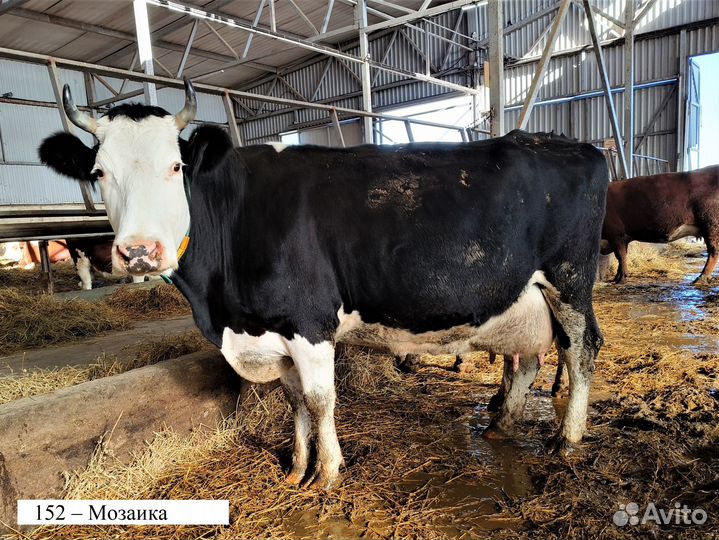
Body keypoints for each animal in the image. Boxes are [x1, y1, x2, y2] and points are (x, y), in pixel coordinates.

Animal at [39, 80, 608, 489]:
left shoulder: (308, 321)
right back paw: (500, 423)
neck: (224, 313)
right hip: (525, 298)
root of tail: (577, 146)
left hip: (569, 280)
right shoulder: (275, 331)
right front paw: (296, 466)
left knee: (581, 349)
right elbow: (294, 401)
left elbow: (318, 399)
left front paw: (328, 471)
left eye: (176, 167)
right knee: (529, 359)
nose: (139, 252)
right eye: (98, 172)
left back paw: (567, 438)